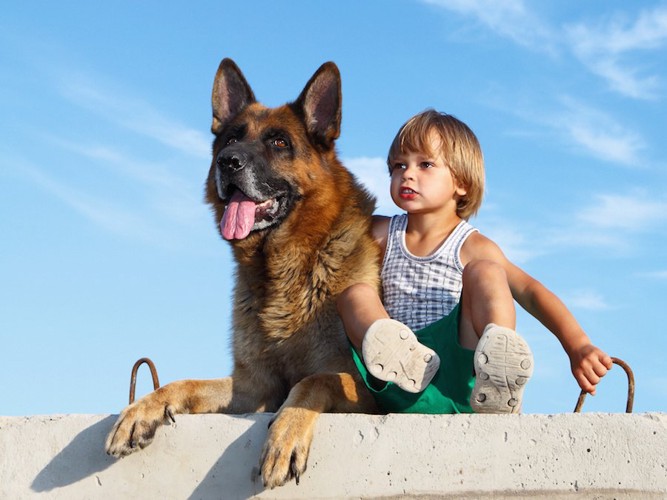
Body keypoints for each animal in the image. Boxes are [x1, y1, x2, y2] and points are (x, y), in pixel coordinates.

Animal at [107, 59, 384, 488]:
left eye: (280, 143)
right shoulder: (254, 388)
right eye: (231, 138)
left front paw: (284, 439)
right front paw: (142, 410)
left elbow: (313, 380)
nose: (228, 161)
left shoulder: (366, 390)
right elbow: (184, 383)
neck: (284, 271)